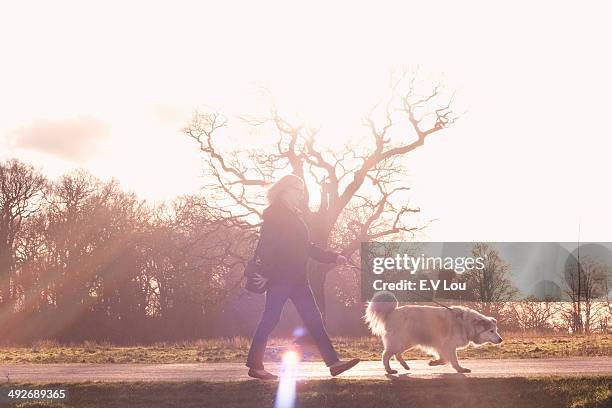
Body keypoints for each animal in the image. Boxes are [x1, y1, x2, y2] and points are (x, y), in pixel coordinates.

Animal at [364, 292, 502, 374]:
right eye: (491, 331)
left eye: (496, 330)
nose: (501, 340)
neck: (466, 323)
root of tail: (392, 312)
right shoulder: (448, 345)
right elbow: (453, 360)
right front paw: (460, 369)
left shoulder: (441, 346)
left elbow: (444, 359)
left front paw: (435, 362)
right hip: (399, 341)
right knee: (385, 355)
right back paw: (389, 370)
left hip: (407, 342)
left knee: (397, 354)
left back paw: (405, 366)